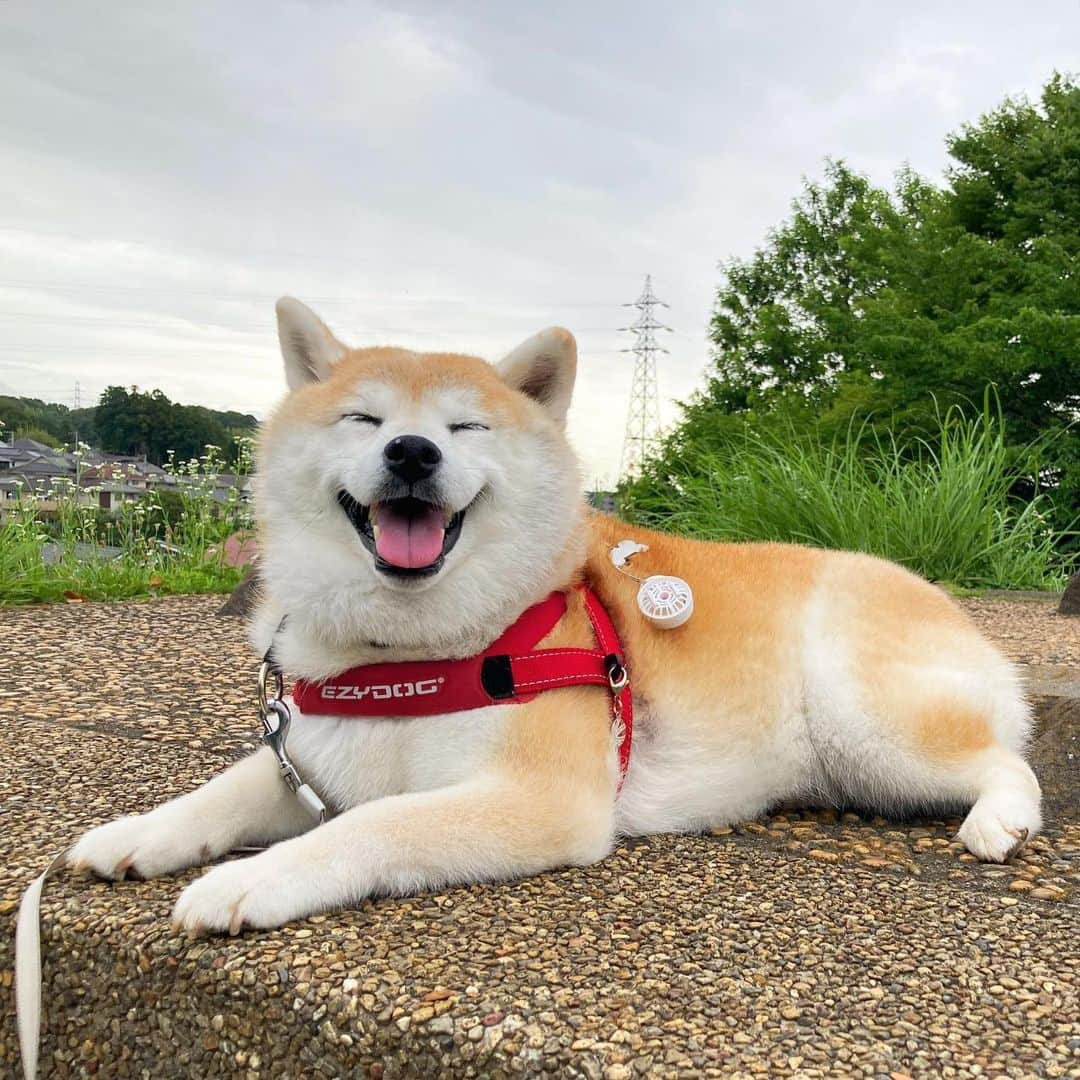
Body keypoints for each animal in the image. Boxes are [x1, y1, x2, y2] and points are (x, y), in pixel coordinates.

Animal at [65, 298, 1036, 937]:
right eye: (364, 417)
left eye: (466, 428)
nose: (411, 451)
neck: (407, 654)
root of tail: (947, 605)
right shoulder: (310, 749)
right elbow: (222, 791)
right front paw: (135, 835)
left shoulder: (542, 798)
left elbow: (372, 824)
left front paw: (253, 880)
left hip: (864, 724)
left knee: (1010, 765)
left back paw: (999, 821)